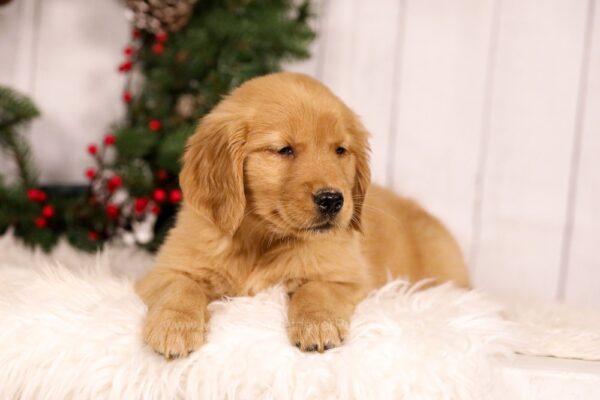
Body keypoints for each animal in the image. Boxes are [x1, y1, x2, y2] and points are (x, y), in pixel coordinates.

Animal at [137, 72, 468, 360]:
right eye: (284, 150)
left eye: (340, 150)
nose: (333, 200)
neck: (261, 239)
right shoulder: (166, 269)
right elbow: (181, 287)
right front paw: (174, 328)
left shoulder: (347, 276)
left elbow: (316, 289)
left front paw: (318, 326)